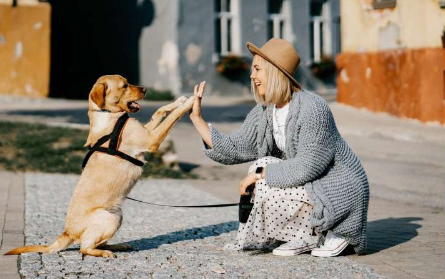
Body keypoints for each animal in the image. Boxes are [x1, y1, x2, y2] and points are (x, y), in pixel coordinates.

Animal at [5, 74, 195, 258]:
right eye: (124, 85)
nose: (145, 90)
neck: (108, 115)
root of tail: (67, 233)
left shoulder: (147, 131)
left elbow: (159, 111)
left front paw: (178, 101)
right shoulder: (150, 139)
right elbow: (172, 117)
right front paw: (190, 102)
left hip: (118, 216)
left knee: (96, 243)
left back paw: (118, 245)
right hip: (109, 218)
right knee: (84, 248)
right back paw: (105, 252)